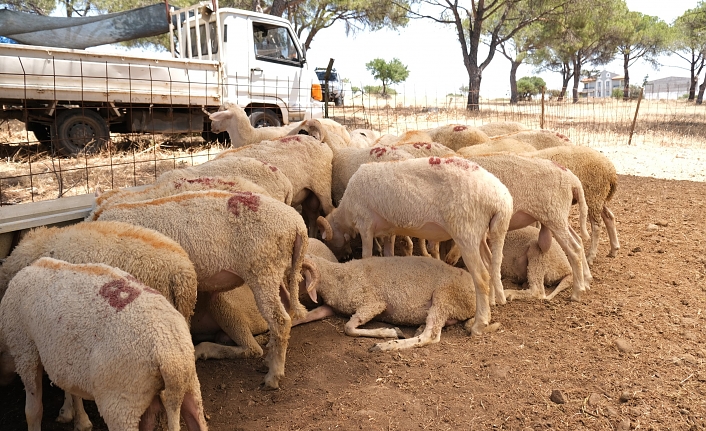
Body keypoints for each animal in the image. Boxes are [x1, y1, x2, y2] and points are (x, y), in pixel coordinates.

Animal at [0, 258, 209, 430]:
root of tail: (171, 358)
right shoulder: (68, 358)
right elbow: (72, 388)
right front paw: (80, 420)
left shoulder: (25, 349)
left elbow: (33, 410)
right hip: (189, 385)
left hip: (121, 402)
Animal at [95, 191, 310, 390]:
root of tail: (298, 224)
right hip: (274, 270)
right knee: (287, 306)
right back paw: (269, 359)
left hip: (263, 268)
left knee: (280, 320)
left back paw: (273, 377)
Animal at [292, 255, 490, 352]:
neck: (337, 276)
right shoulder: (330, 307)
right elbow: (306, 317)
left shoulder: (373, 304)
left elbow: (348, 328)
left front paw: (389, 332)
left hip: (444, 296)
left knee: (430, 336)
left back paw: (385, 346)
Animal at [314, 157, 512, 336]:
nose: (343, 256)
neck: (346, 213)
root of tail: (502, 202)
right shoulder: (389, 231)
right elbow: (388, 253)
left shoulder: (365, 224)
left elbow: (366, 255)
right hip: (483, 233)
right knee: (491, 264)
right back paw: (492, 303)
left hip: (466, 231)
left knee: (481, 277)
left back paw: (479, 324)